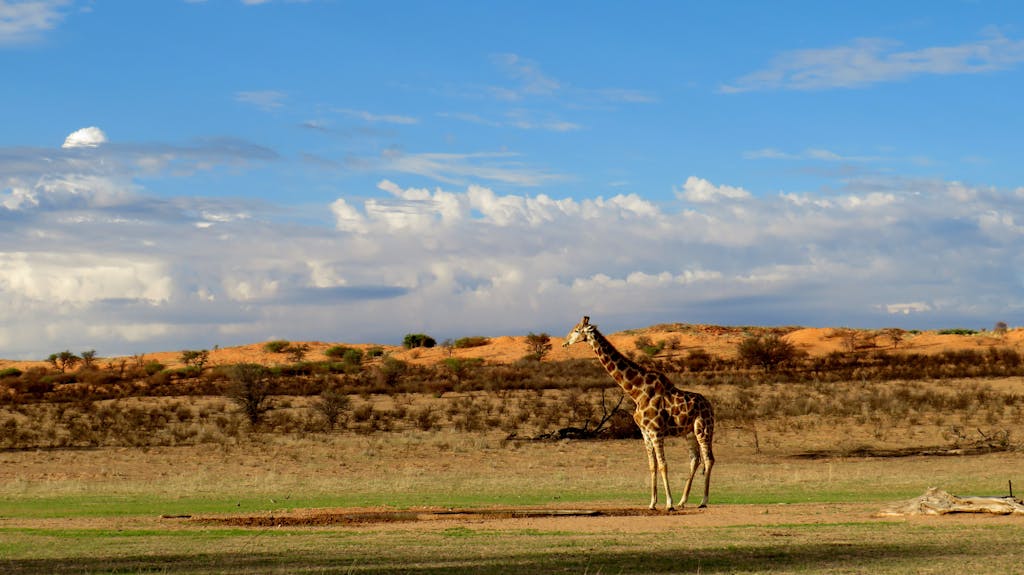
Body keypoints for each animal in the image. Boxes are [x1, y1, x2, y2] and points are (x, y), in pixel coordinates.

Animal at [565, 315, 716, 507]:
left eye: (577, 330)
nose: (565, 342)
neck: (636, 392)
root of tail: (710, 406)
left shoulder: (656, 431)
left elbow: (663, 464)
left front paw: (668, 503)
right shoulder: (645, 432)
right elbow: (652, 466)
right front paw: (652, 503)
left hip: (703, 428)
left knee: (709, 459)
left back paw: (703, 501)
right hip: (688, 432)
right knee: (695, 459)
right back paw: (683, 501)